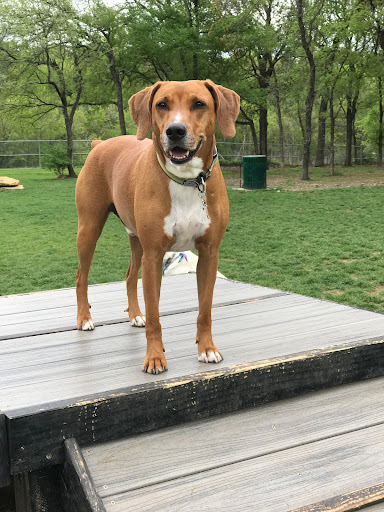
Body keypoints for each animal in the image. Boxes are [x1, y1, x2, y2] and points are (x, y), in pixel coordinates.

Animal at [76, 81, 240, 376]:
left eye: (199, 104)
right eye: (161, 104)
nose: (175, 130)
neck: (187, 181)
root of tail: (100, 144)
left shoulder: (209, 254)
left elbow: (205, 311)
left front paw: (207, 348)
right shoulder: (154, 256)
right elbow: (155, 315)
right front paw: (154, 358)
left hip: (135, 238)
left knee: (130, 276)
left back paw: (135, 315)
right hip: (89, 229)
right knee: (81, 277)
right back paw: (84, 318)